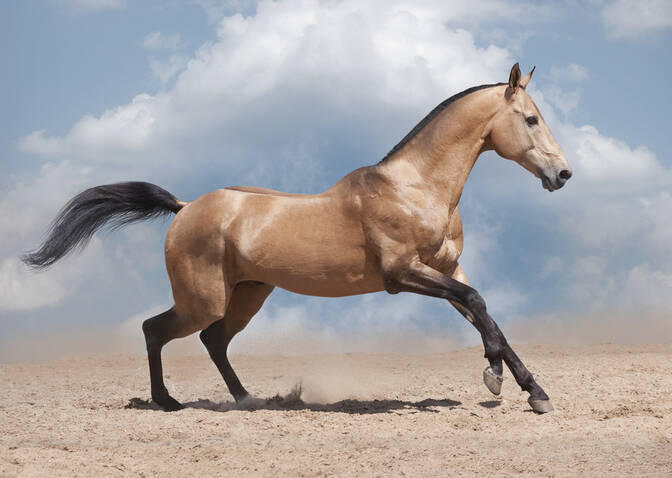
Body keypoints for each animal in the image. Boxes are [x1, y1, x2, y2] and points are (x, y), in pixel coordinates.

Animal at [24, 63, 571, 413]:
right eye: (530, 119)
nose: (563, 174)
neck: (415, 188)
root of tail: (184, 208)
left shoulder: (446, 269)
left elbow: (486, 314)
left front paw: (529, 389)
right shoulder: (403, 275)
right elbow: (478, 304)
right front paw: (499, 380)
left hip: (247, 294)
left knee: (212, 340)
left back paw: (246, 400)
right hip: (204, 298)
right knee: (155, 330)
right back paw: (167, 402)